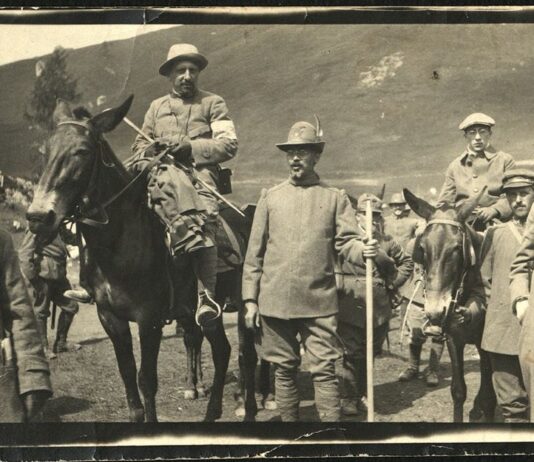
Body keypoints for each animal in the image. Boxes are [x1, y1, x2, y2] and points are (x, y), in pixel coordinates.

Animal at [25, 95, 262, 422]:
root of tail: (248, 218)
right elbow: (128, 376)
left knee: (246, 355)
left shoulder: (149, 320)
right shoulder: (110, 318)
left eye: (82, 151)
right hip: (201, 316)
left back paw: (247, 409)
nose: (38, 217)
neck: (119, 244)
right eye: (45, 151)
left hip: (242, 305)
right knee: (222, 350)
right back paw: (212, 412)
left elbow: (146, 380)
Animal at [403, 188, 496, 422]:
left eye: (456, 248)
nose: (435, 310)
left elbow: (489, 396)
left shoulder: (487, 345)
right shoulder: (455, 338)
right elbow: (458, 391)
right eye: (422, 247)